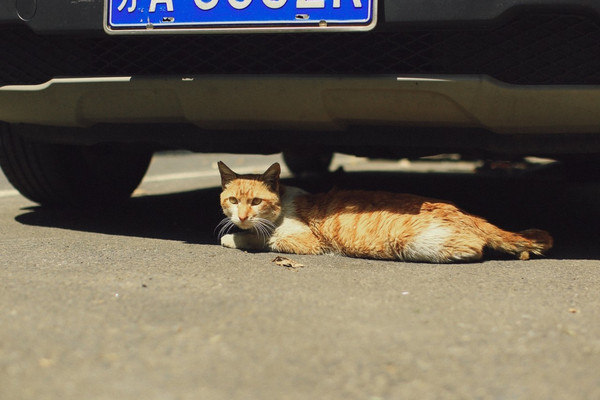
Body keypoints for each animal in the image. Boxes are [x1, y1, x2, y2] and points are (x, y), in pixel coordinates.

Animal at [216, 161, 552, 264]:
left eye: (255, 202)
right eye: (232, 200)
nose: (242, 217)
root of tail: (466, 213)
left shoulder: (305, 241)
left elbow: (263, 239)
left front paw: (233, 238)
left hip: (414, 243)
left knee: (475, 246)